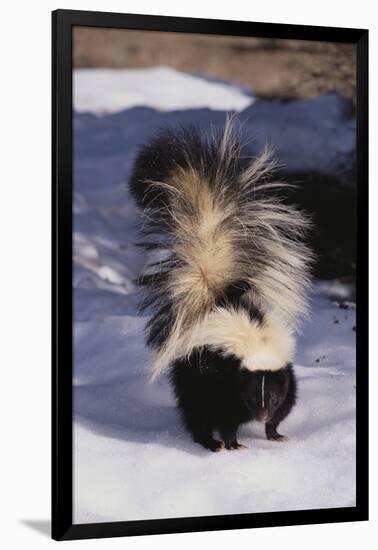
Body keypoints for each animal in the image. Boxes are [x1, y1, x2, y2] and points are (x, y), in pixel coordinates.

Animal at [128, 121, 312, 452]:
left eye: (271, 396)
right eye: (252, 394)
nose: (262, 415)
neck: (256, 343)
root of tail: (213, 297)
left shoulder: (284, 373)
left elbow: (287, 404)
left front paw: (275, 433)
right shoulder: (223, 379)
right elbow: (226, 416)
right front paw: (232, 443)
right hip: (193, 374)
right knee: (196, 411)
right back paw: (207, 441)